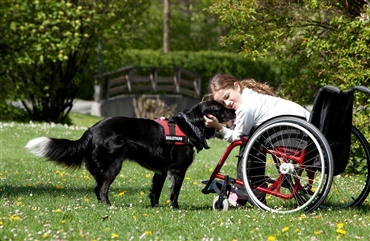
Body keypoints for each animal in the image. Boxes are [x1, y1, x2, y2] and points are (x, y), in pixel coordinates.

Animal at [25, 100, 234, 208]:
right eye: (221, 109)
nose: (234, 109)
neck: (190, 125)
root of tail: (91, 130)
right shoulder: (177, 169)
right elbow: (174, 192)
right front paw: (175, 209)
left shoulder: (161, 171)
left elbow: (155, 191)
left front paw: (155, 208)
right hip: (113, 164)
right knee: (101, 188)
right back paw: (108, 205)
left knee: (97, 187)